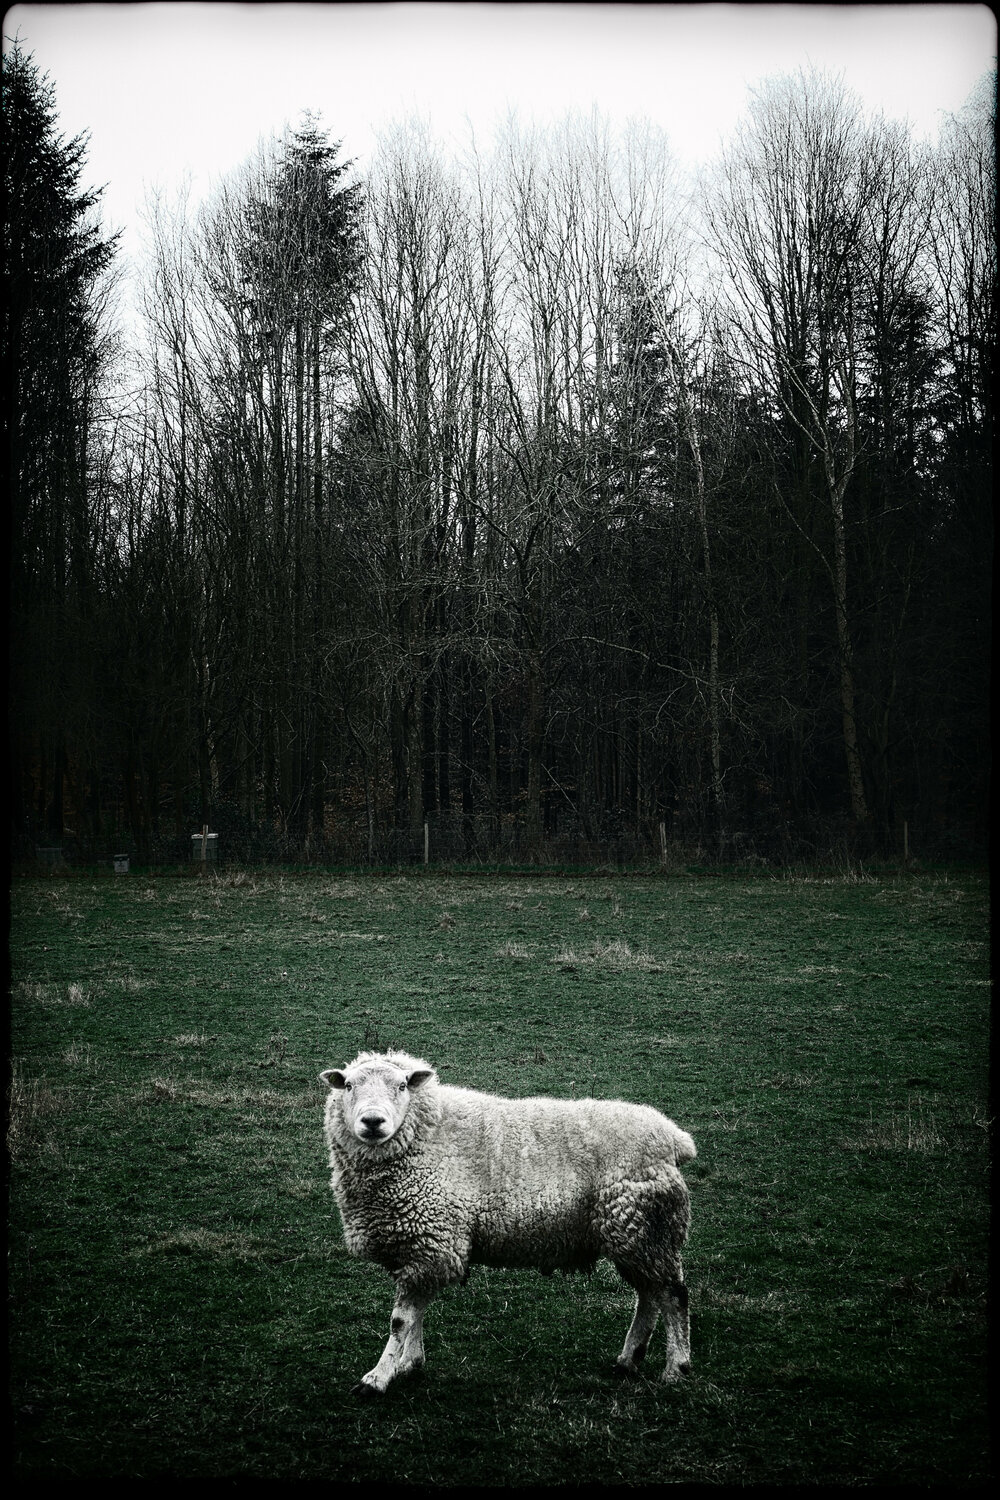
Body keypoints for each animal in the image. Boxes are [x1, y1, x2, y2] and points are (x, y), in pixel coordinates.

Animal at [319, 1048, 696, 1394]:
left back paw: (676, 1367)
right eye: (349, 1085)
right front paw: (409, 1363)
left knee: (673, 1296)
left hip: (645, 1227)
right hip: (638, 1234)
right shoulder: (419, 1248)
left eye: (401, 1086)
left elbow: (400, 1321)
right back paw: (629, 1360)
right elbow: (417, 1316)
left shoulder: (432, 1242)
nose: (372, 1122)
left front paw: (377, 1377)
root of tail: (674, 1138)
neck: (426, 1135)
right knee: (649, 1296)